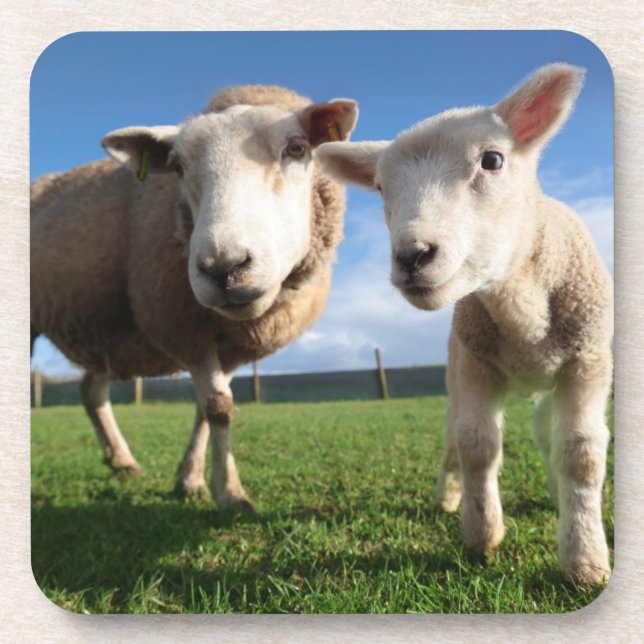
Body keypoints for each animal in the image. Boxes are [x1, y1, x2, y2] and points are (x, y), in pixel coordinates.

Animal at [31, 85, 358, 512]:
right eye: (177, 167)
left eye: (297, 148)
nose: (224, 268)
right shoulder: (185, 329)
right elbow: (219, 409)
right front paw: (230, 494)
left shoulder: (230, 345)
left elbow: (208, 409)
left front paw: (190, 480)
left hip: (106, 329)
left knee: (91, 390)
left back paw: (122, 461)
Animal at [315, 64, 613, 586]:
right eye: (381, 188)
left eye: (492, 160)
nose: (412, 256)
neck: (521, 309)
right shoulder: (476, 363)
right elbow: (476, 444)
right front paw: (481, 534)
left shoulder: (589, 359)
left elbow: (581, 452)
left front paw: (585, 560)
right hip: (455, 370)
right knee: (455, 435)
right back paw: (448, 497)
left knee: (548, 433)